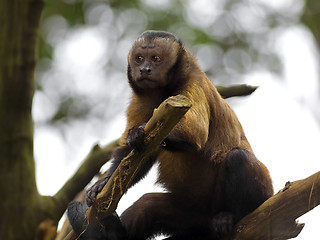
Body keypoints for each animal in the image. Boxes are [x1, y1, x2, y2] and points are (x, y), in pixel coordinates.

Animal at [67, 31, 272, 239]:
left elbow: (193, 135)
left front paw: (139, 131)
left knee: (238, 157)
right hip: (191, 216)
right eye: (139, 58)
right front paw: (103, 183)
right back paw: (115, 234)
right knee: (147, 205)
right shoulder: (139, 100)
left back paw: (231, 216)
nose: (145, 69)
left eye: (155, 58)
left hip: (263, 195)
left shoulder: (193, 85)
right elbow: (134, 158)